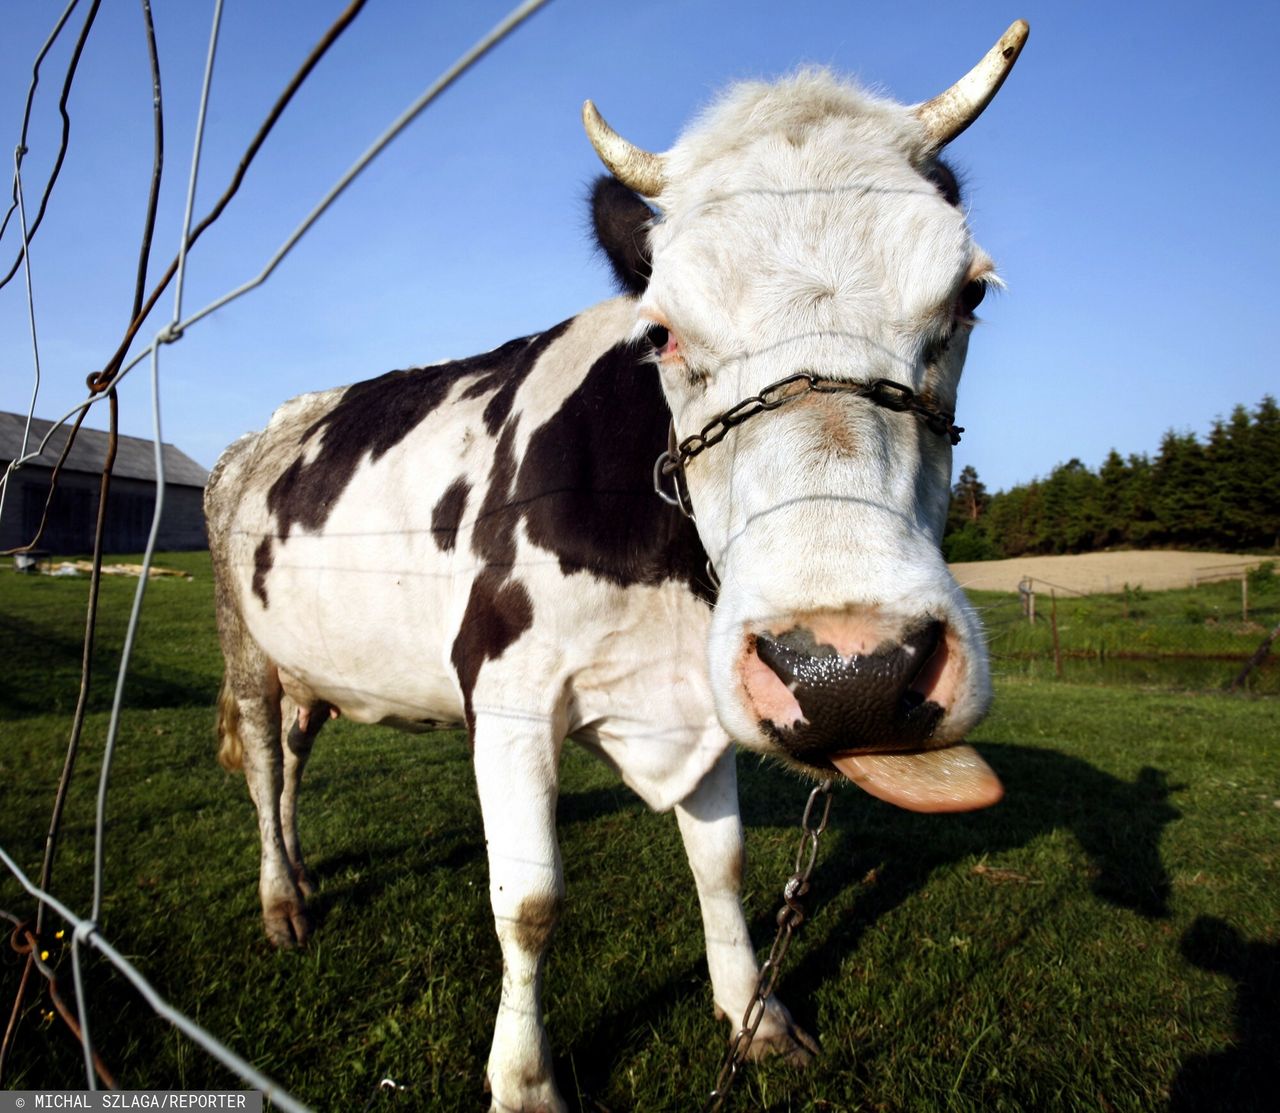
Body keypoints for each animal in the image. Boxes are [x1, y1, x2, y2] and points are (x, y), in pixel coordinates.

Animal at [207, 19, 1029, 1113]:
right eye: (662, 328)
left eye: (968, 293)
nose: (848, 669)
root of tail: (267, 427)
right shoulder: (506, 693)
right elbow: (529, 902)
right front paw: (523, 1079)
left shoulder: (703, 692)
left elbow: (722, 866)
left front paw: (754, 1014)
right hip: (243, 647)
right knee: (263, 766)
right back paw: (278, 901)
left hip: (311, 663)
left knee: (296, 761)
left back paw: (299, 879)